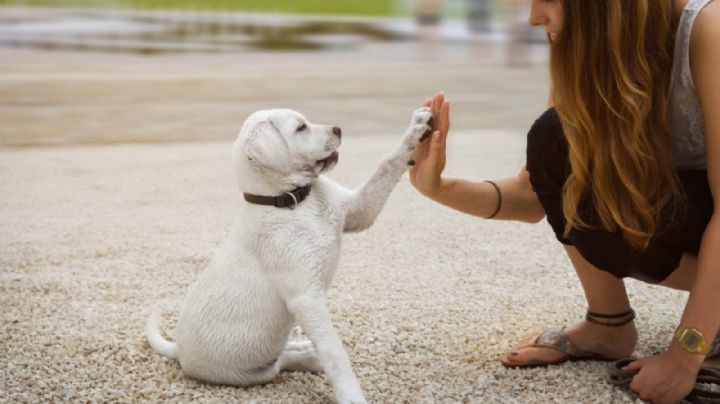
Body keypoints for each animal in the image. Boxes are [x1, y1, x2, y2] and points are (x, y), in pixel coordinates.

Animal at [143, 105, 430, 402]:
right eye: (301, 128)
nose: (338, 129)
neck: (293, 201)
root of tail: (177, 350)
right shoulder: (307, 299)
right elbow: (334, 351)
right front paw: (351, 395)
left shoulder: (358, 211)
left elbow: (386, 164)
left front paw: (416, 128)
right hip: (253, 373)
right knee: (281, 362)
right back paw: (310, 356)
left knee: (285, 353)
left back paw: (307, 351)